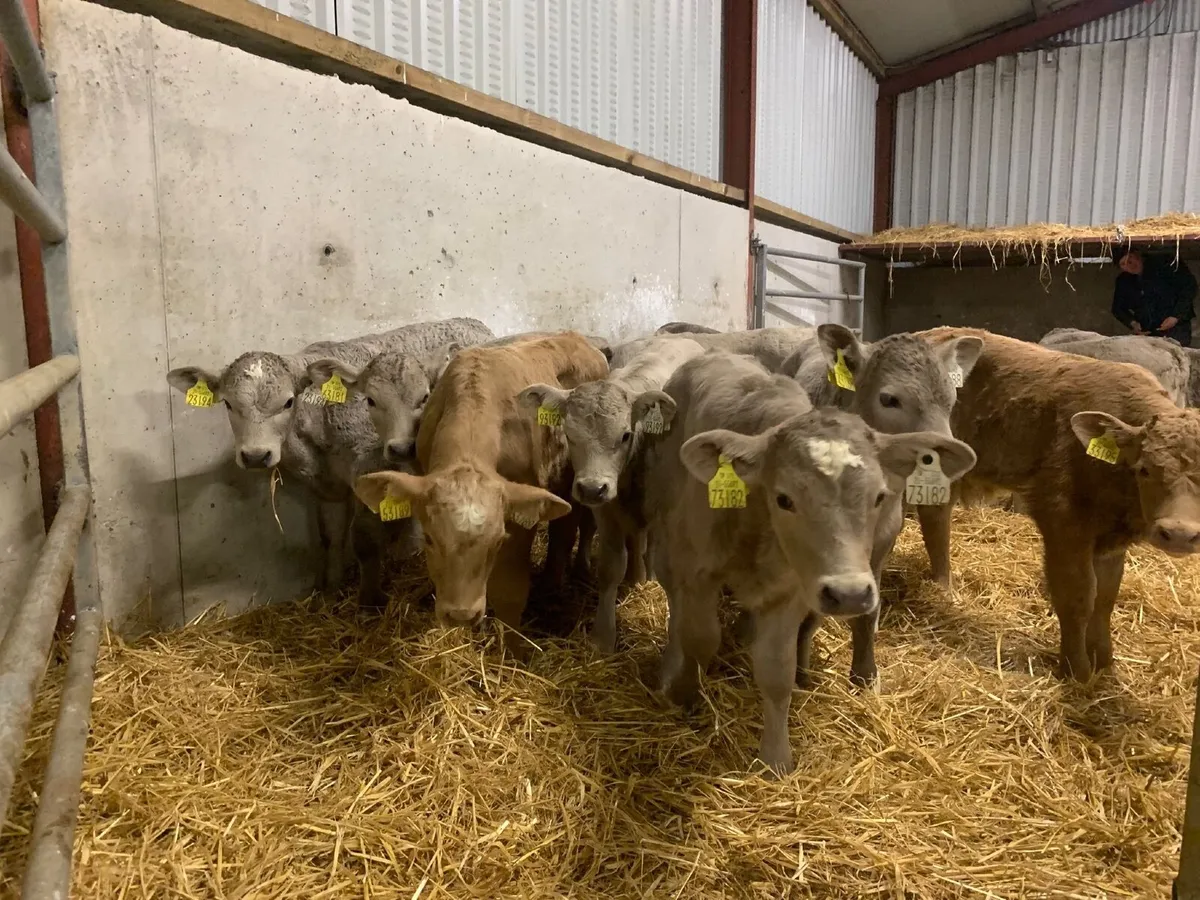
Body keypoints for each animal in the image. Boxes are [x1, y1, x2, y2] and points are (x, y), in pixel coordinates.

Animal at [166, 317, 494, 605]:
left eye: (288, 402)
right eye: (228, 404)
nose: (256, 455)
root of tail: (473, 323)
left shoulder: (369, 465)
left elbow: (364, 539)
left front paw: (369, 601)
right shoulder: (328, 487)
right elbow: (331, 536)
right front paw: (330, 591)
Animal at [353, 333, 609, 649]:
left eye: (498, 541)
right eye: (429, 539)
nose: (461, 615)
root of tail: (574, 336)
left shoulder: (519, 520)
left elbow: (510, 589)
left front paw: (514, 651)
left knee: (569, 532)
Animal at [516, 336, 706, 652]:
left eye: (625, 435)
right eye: (569, 435)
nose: (592, 488)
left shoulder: (663, 509)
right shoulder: (606, 511)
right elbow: (610, 568)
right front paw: (603, 637)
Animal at [644, 351, 977, 774]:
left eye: (879, 496)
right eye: (785, 499)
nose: (849, 594)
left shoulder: (789, 592)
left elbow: (776, 670)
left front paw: (776, 758)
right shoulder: (697, 571)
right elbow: (699, 639)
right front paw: (686, 694)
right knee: (674, 603)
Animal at [778, 323, 982, 684]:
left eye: (951, 399)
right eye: (889, 399)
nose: (943, 459)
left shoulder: (885, 536)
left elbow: (867, 609)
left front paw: (864, 675)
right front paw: (802, 677)